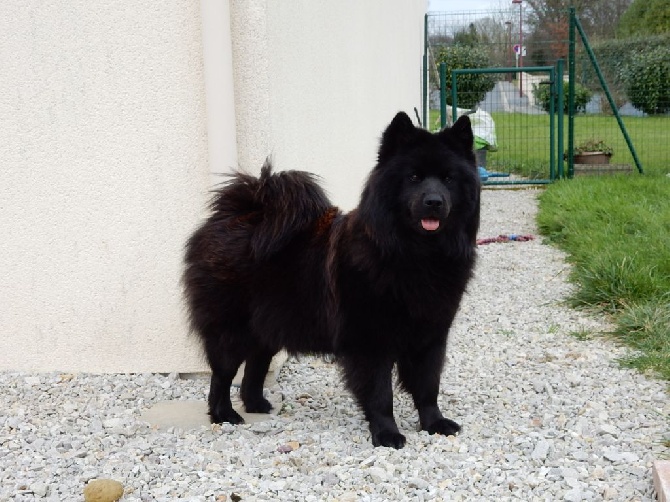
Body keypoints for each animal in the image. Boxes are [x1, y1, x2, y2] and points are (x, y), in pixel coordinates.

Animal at [185, 113, 484, 448]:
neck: (414, 253)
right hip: (231, 330)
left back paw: (257, 404)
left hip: (268, 325)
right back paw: (224, 414)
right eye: (414, 177)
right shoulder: (370, 340)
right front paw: (387, 433)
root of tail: (239, 212)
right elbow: (381, 395)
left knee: (256, 365)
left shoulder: (431, 336)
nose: (434, 201)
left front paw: (434, 423)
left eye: (448, 179)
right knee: (222, 374)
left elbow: (428, 387)